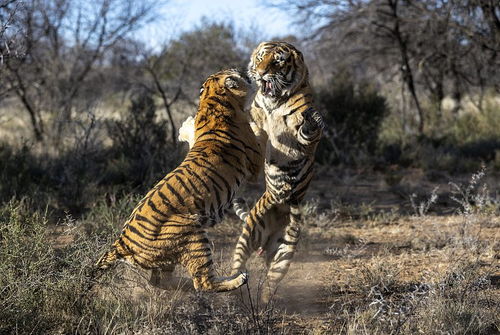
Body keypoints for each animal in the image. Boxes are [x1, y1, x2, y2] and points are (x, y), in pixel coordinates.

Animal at [95, 69, 264, 294]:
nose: (245, 72)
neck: (212, 102)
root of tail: (121, 242)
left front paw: (185, 127)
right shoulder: (254, 165)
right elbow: (262, 132)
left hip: (168, 257)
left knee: (161, 282)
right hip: (194, 237)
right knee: (203, 282)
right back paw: (239, 279)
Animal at [230, 41, 324, 302]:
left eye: (278, 61)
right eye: (261, 58)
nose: (261, 73)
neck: (274, 102)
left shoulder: (304, 138)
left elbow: (306, 128)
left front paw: (311, 119)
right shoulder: (257, 122)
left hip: (285, 249)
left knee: (271, 281)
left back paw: (264, 302)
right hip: (249, 233)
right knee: (237, 264)